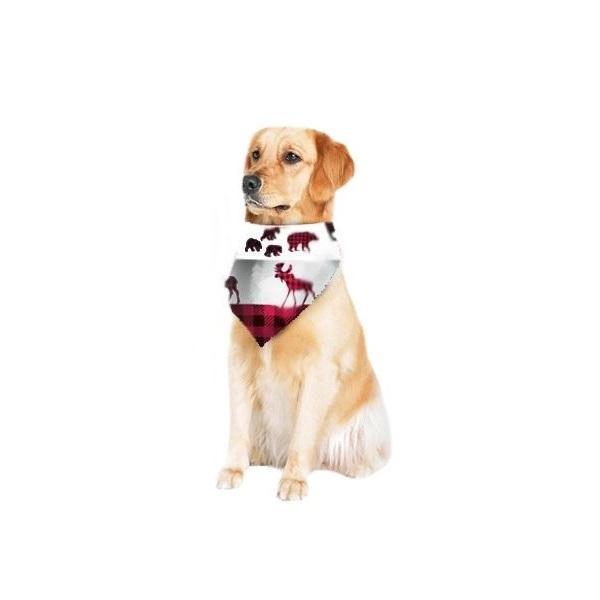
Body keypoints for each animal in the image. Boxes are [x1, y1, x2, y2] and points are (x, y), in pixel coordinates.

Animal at [217, 127, 390, 500]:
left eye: (291, 157)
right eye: (255, 154)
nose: (247, 182)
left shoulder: (320, 369)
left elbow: (303, 431)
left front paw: (294, 479)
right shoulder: (239, 359)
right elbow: (237, 425)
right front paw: (233, 469)